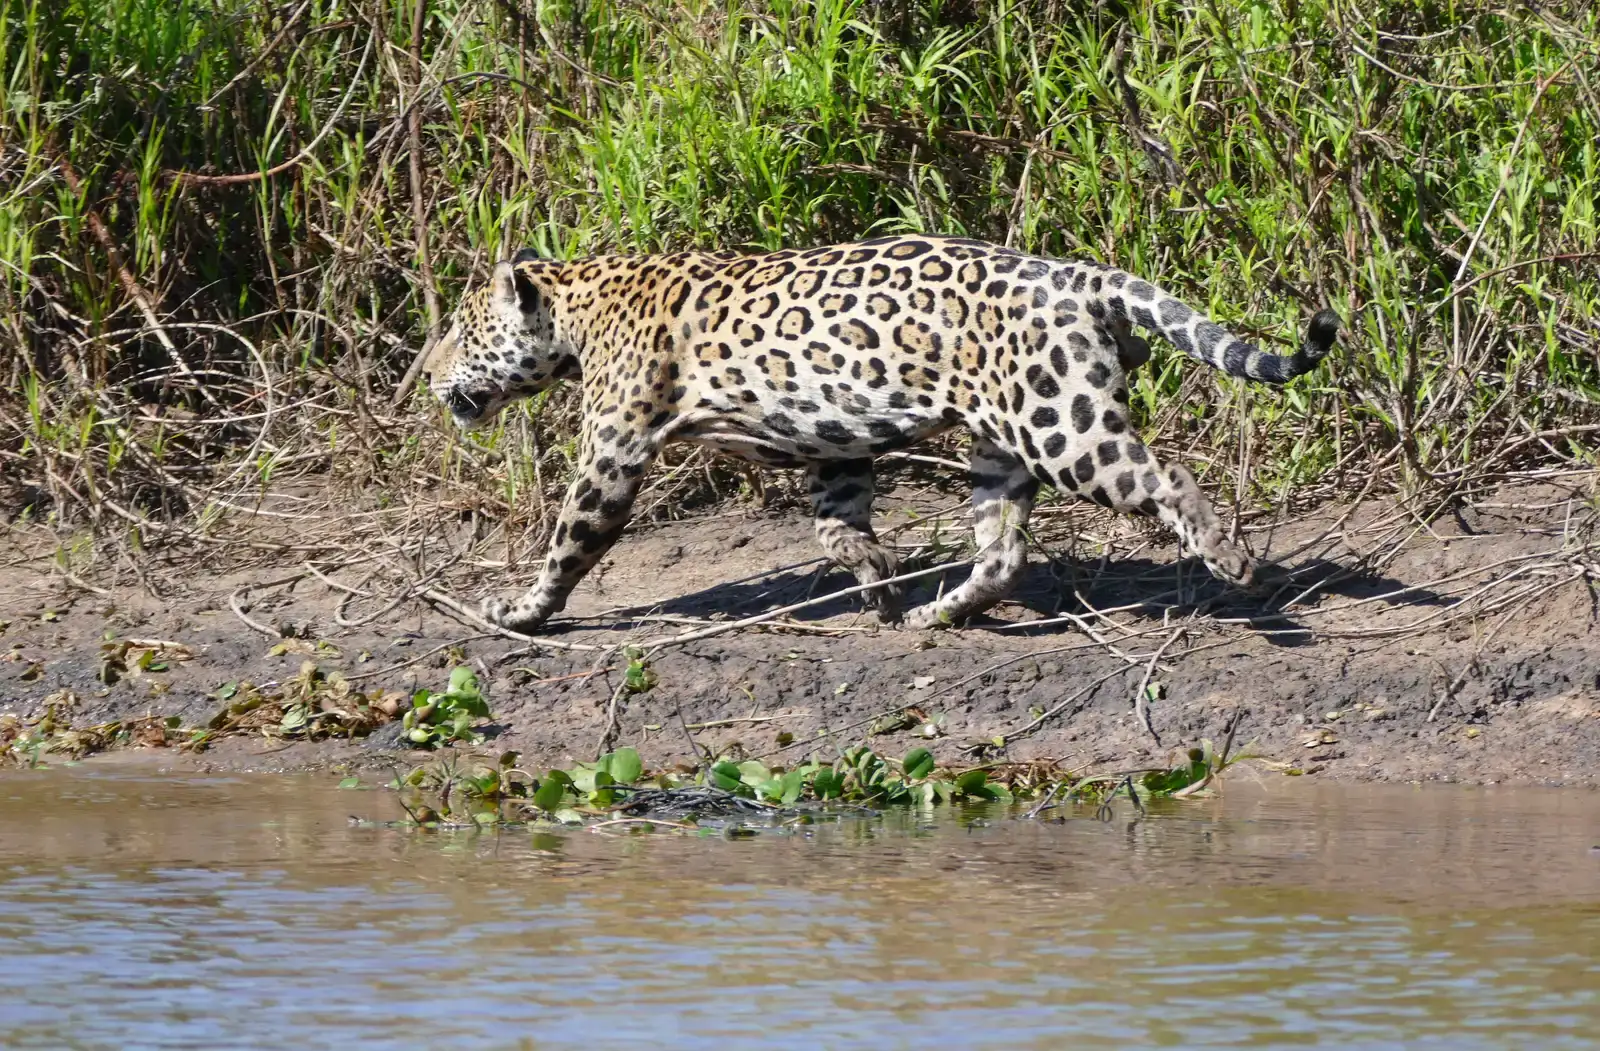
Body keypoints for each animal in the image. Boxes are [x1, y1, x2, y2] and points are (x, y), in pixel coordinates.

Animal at [421, 235, 1340, 634]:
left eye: (461, 333)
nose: (427, 373)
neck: (576, 308)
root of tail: (1078, 274)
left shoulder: (613, 448)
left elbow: (570, 542)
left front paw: (521, 610)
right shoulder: (836, 441)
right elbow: (836, 521)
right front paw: (877, 580)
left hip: (1062, 423)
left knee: (1165, 479)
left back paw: (1232, 561)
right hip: (997, 438)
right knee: (1006, 550)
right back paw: (939, 612)